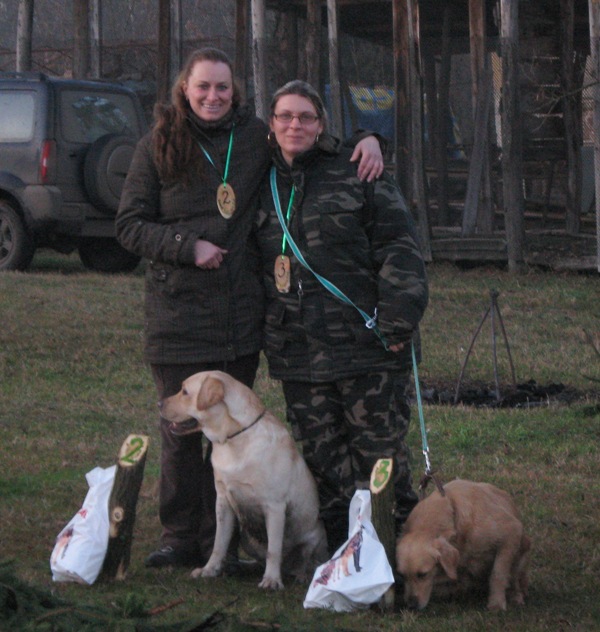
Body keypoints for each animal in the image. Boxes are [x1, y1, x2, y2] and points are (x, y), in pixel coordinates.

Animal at [159, 370, 328, 590]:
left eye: (185, 391)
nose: (159, 404)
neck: (233, 438)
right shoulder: (223, 501)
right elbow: (219, 543)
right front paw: (209, 570)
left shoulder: (274, 506)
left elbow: (274, 549)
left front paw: (271, 580)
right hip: (247, 540)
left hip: (313, 538)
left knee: (305, 561)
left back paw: (301, 575)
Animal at [395, 479, 530, 611]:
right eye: (402, 575)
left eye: (423, 575)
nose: (411, 606)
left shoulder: (511, 533)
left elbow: (498, 574)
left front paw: (496, 603)